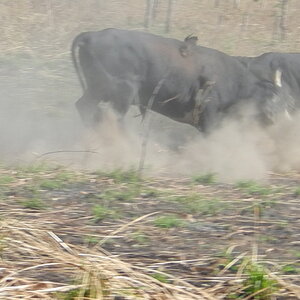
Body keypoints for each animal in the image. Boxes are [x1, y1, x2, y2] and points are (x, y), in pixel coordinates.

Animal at [72, 28, 288, 133]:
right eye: (273, 99)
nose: (280, 120)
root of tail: (91, 35)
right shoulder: (209, 116)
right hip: (122, 93)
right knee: (113, 117)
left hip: (96, 90)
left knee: (85, 107)